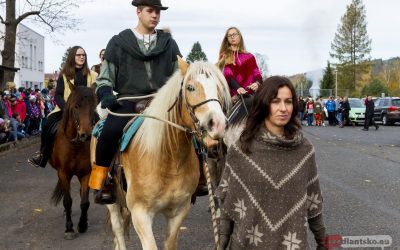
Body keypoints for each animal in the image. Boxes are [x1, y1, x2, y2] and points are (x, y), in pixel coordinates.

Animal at [49, 85, 97, 239]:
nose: (86, 135)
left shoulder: (86, 173)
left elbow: (85, 202)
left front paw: (82, 225)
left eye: (93, 106)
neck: (75, 145)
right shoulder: (63, 173)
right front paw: (69, 229)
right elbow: (68, 201)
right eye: (76, 106)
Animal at [92, 59, 231, 249]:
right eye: (190, 87)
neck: (167, 159)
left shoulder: (179, 211)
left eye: (218, 87)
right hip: (112, 203)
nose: (217, 124)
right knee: (118, 229)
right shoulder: (140, 214)